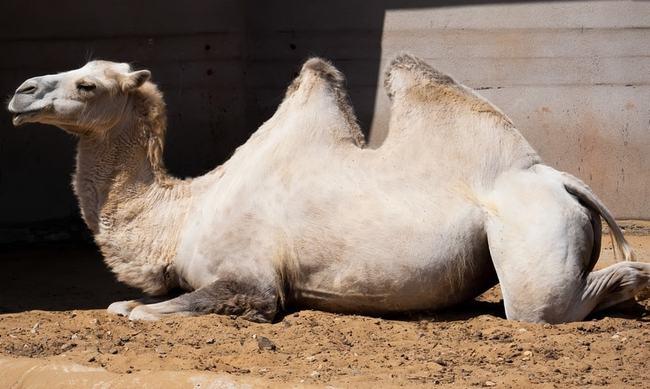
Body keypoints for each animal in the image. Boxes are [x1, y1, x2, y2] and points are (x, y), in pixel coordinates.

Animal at [6, 54, 648, 322]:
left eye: (87, 85)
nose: (20, 90)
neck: (184, 212)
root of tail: (561, 178)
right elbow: (122, 305)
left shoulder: (253, 280)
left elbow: (141, 313)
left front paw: (138, 308)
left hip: (532, 234)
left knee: (543, 308)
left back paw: (631, 279)